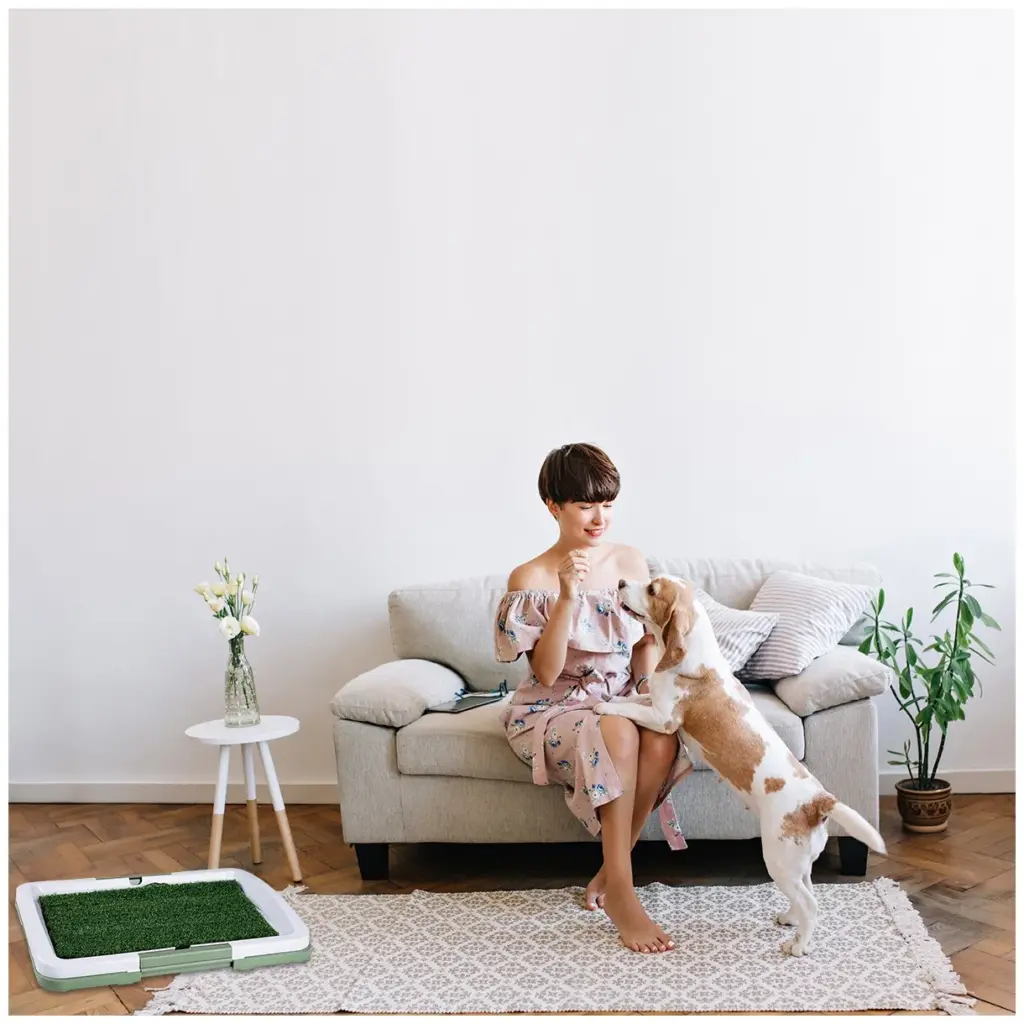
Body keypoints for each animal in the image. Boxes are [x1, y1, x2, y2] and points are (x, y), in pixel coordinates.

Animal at [598, 573, 884, 954]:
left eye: (652, 589)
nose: (620, 581)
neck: (694, 653)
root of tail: (818, 801)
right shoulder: (653, 703)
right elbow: (633, 698)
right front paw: (611, 698)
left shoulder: (663, 719)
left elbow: (630, 708)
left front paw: (602, 706)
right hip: (798, 863)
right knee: (806, 893)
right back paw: (790, 919)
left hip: (778, 860)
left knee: (811, 903)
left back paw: (798, 945)